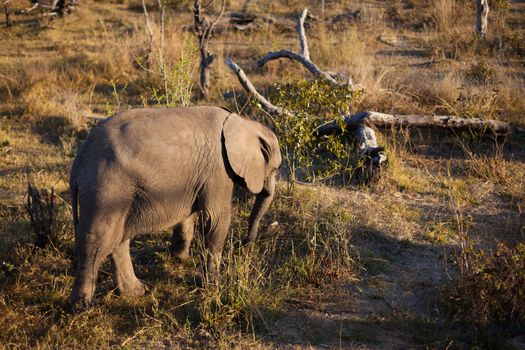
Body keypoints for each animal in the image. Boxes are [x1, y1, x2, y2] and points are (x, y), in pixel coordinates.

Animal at [70, 106, 282, 308]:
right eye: (275, 168)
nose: (243, 244)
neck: (243, 121)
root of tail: (80, 159)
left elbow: (187, 216)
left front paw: (180, 258)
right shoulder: (218, 170)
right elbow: (214, 220)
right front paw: (214, 286)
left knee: (118, 238)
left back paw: (136, 292)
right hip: (106, 188)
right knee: (97, 239)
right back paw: (81, 306)